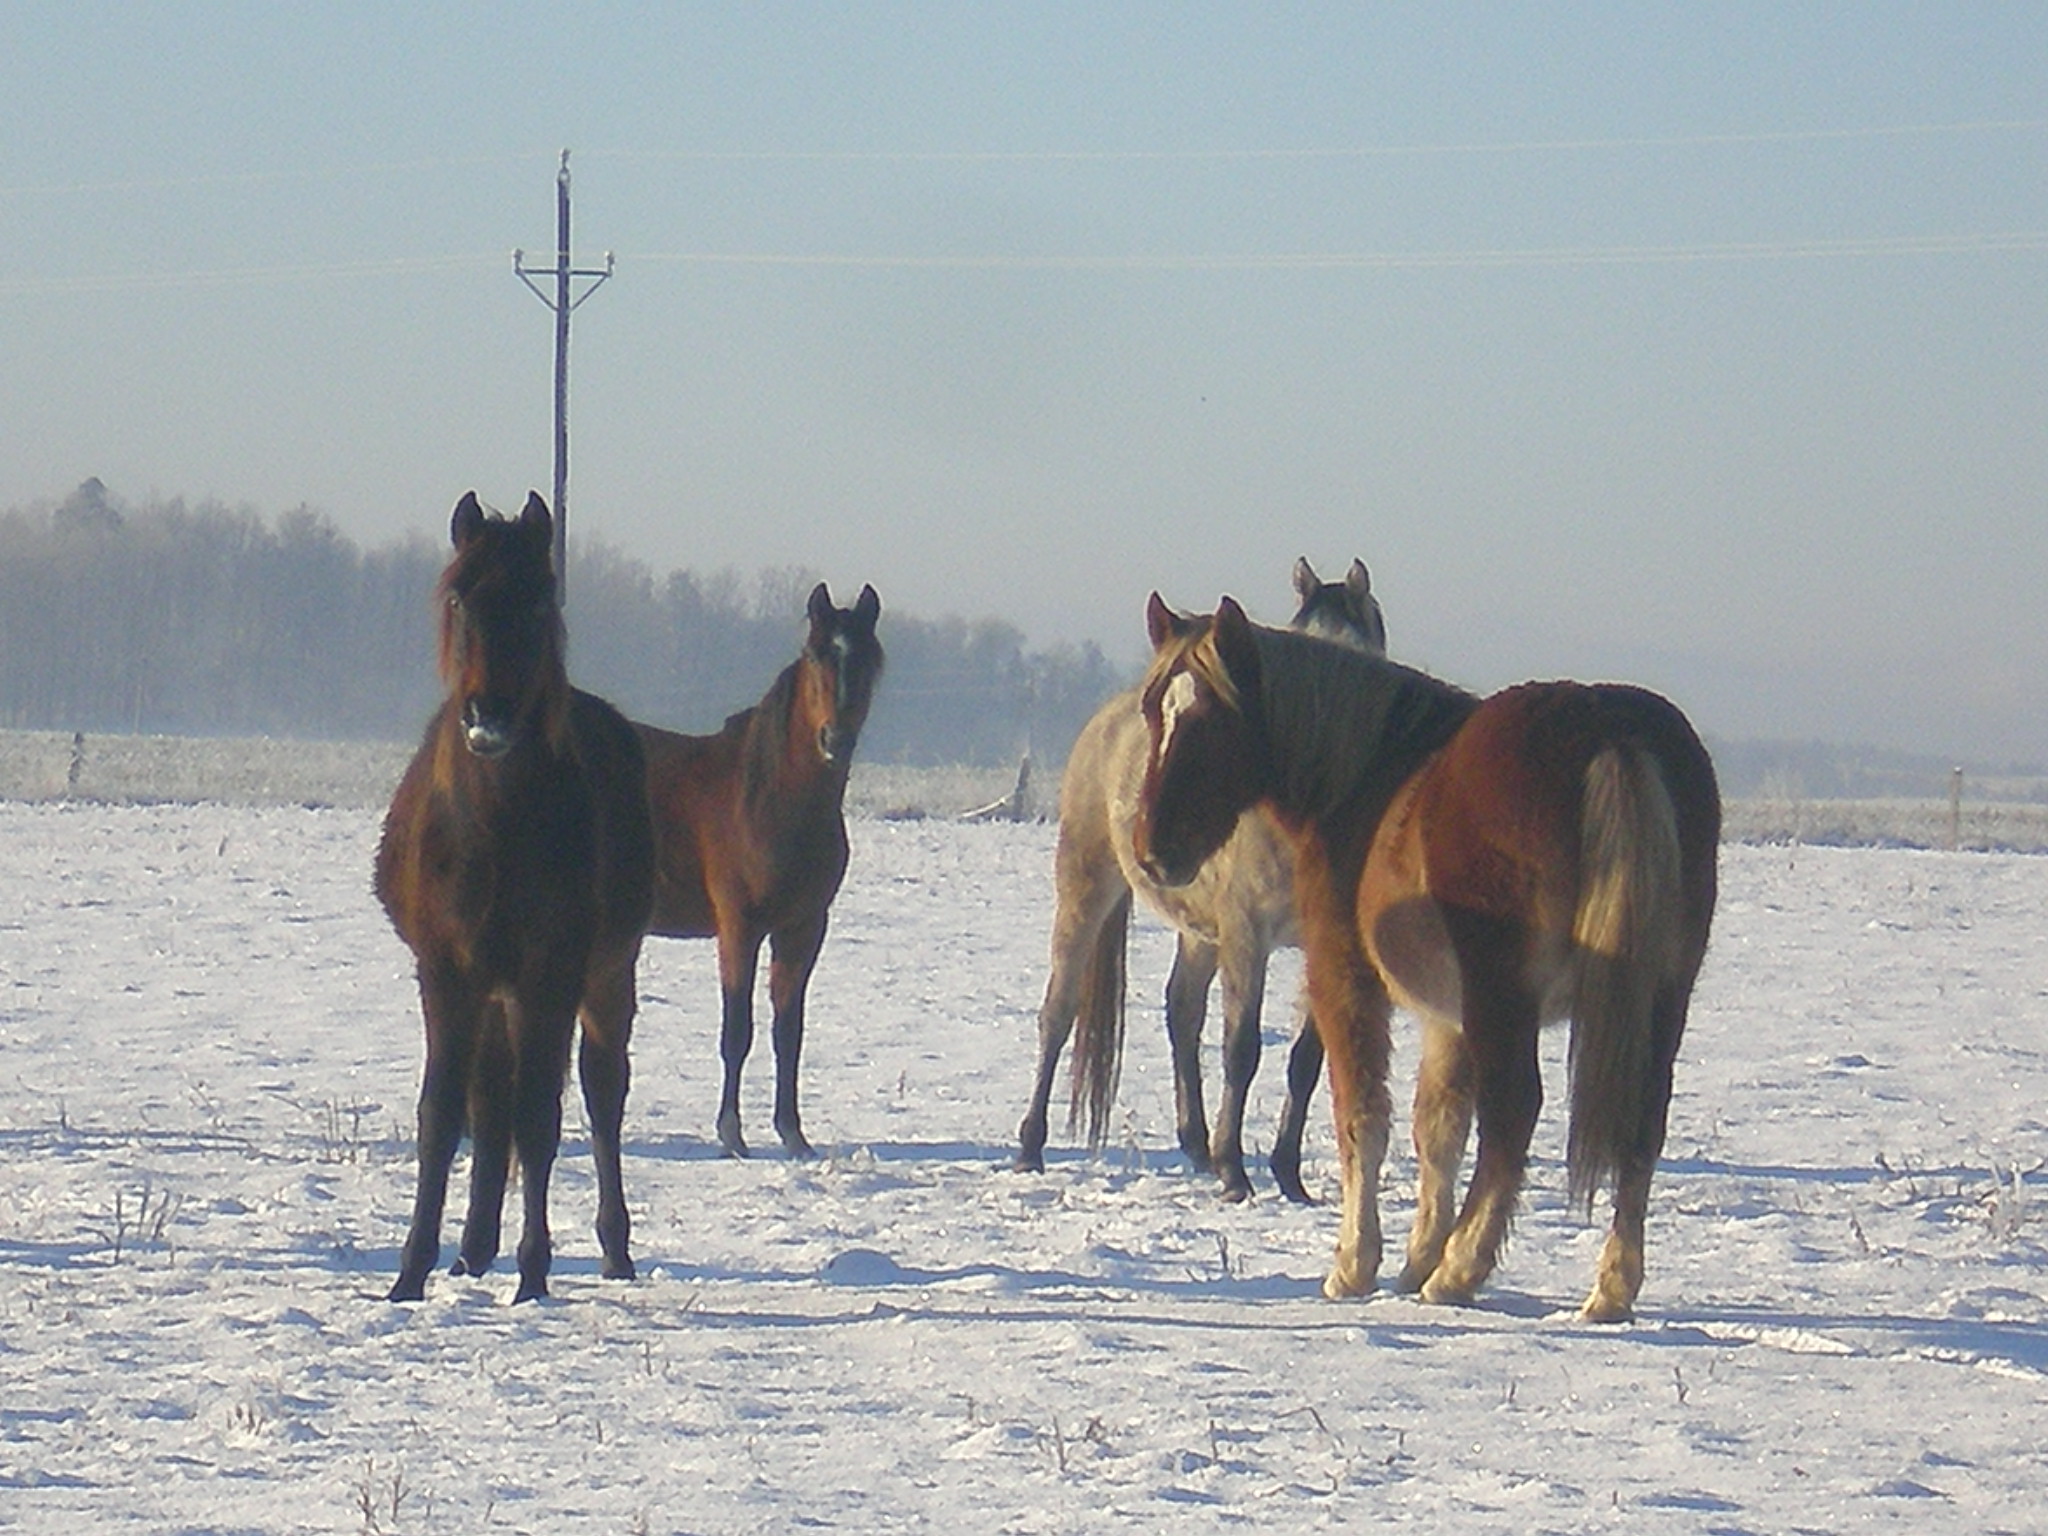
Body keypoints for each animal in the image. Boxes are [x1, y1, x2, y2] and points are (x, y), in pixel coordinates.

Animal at [372, 495, 651, 1310]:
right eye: (460, 599)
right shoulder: (448, 971)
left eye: (537, 602)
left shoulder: (549, 974)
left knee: (602, 1093)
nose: (488, 716)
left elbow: (540, 1117)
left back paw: (613, 1250)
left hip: (606, 973)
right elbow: (444, 1115)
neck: (494, 828)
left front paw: (533, 1272)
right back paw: (471, 1251)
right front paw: (411, 1271)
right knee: (490, 1101)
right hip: (494, 991)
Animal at [630, 581, 872, 1163]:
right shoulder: (739, 927)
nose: (835, 740)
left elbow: (789, 1030)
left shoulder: (802, 929)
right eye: (816, 655)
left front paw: (793, 1134)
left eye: (870, 659)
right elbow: (736, 1030)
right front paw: (731, 1133)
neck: (768, 799)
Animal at [1011, 561, 1384, 1212]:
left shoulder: (1323, 940)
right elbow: (1241, 1048)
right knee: (1058, 1012)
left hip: (1200, 931)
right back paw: (1032, 1146)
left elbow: (1306, 1058)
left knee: (1182, 1009)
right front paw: (1236, 1173)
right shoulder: (1248, 934)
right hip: (1086, 889)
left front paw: (1288, 1174)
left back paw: (1196, 1143)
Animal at [1130, 598, 1720, 1327]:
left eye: (1212, 715)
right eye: (1152, 708)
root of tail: (1609, 730)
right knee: (1640, 1122)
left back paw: (1462, 1270)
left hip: (1505, 997)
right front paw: (1415, 1259)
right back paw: (1609, 1289)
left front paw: (1357, 1265)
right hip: (1660, 999)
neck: (1368, 780)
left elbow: (1362, 1115)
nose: (1154, 851)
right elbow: (1437, 1127)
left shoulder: (1345, 977)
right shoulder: (1450, 1017)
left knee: (1514, 1112)